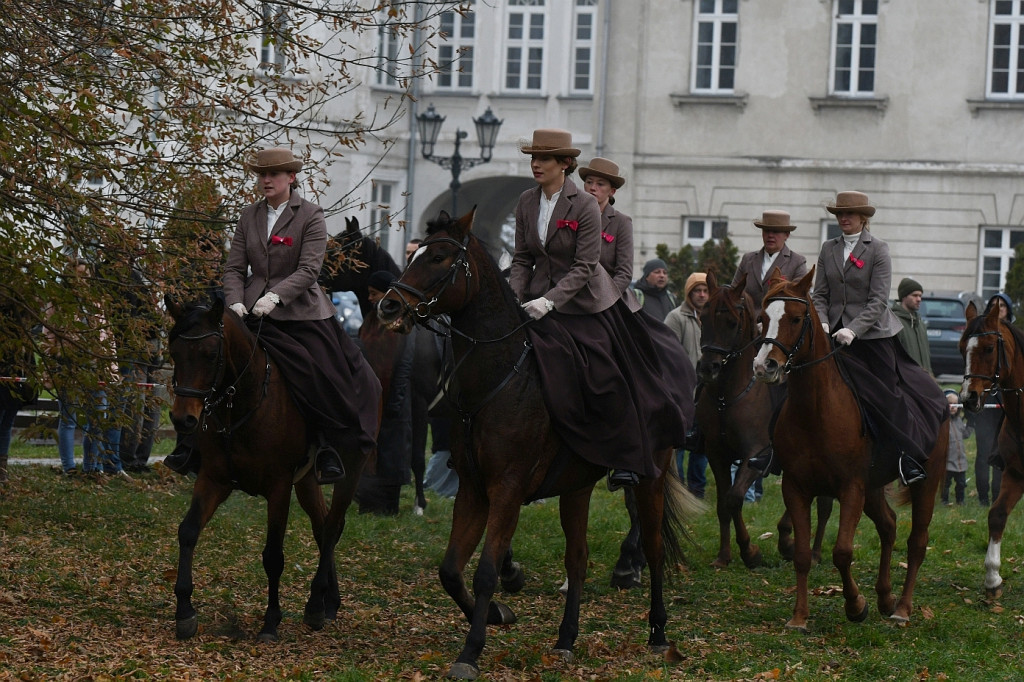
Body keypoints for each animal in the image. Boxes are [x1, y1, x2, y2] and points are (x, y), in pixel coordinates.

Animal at [167, 294, 372, 638]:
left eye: (210, 355)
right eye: (173, 352)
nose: (184, 420)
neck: (240, 403)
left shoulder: (278, 487)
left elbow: (273, 555)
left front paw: (271, 621)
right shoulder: (213, 479)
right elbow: (188, 531)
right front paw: (184, 610)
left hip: (351, 470)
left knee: (332, 528)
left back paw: (315, 605)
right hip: (307, 481)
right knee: (321, 527)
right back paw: (328, 603)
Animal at [376, 209, 696, 675]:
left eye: (438, 257)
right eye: (413, 254)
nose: (388, 306)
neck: (501, 376)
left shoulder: (507, 490)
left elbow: (486, 571)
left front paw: (471, 651)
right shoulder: (473, 490)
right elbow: (450, 569)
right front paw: (496, 615)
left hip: (650, 476)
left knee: (653, 548)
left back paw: (657, 632)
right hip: (577, 486)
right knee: (577, 558)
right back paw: (566, 639)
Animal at [696, 268, 831, 565]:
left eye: (732, 323)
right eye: (702, 318)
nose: (708, 369)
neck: (727, 396)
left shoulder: (756, 455)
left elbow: (735, 498)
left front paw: (750, 552)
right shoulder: (717, 455)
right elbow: (723, 504)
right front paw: (724, 556)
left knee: (824, 502)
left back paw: (810, 550)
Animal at [749, 268, 946, 630]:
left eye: (795, 318)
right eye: (762, 319)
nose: (764, 367)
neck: (814, 409)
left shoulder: (850, 487)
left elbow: (842, 552)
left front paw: (856, 606)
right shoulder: (795, 487)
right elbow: (801, 555)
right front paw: (799, 616)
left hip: (926, 482)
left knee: (917, 541)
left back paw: (902, 609)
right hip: (873, 487)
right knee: (889, 525)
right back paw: (885, 597)